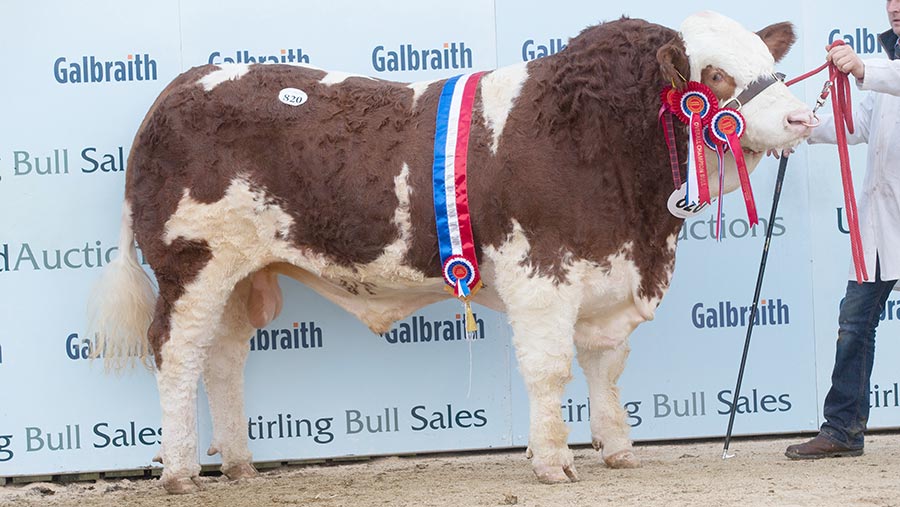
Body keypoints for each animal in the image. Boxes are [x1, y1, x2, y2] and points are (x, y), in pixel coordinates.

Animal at [89, 11, 816, 494]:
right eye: (715, 76)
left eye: (770, 62)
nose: (803, 118)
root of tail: (186, 81)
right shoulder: (542, 272)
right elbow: (550, 369)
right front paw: (553, 460)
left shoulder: (607, 273)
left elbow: (606, 369)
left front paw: (618, 449)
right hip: (191, 262)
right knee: (177, 353)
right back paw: (181, 470)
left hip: (242, 274)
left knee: (223, 357)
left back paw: (240, 464)